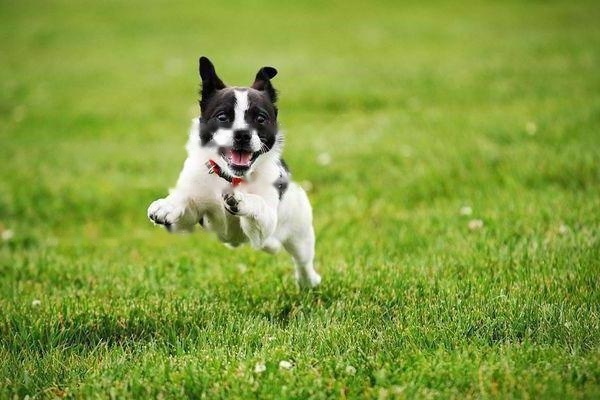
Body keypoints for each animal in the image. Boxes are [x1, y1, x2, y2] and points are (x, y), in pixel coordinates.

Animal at [147, 56, 322, 288]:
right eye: (222, 117)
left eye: (260, 119)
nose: (242, 134)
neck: (232, 177)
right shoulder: (194, 212)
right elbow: (186, 200)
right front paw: (167, 205)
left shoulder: (266, 221)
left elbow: (258, 204)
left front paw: (241, 200)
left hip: (299, 232)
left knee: (302, 260)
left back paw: (308, 280)